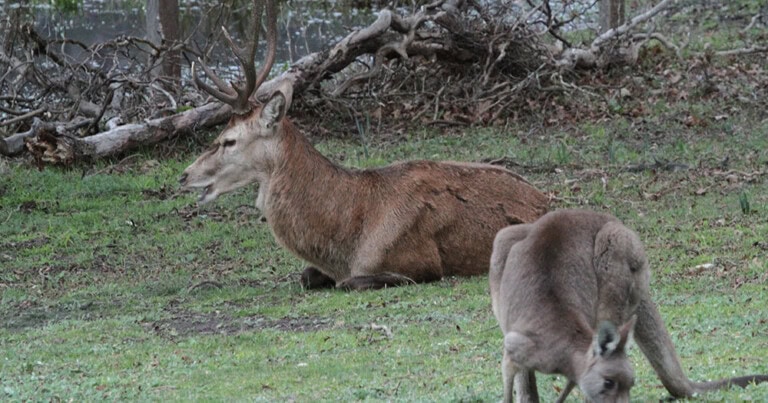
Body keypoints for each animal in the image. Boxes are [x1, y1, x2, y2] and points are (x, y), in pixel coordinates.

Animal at [178, 0, 549, 291]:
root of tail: (547, 200)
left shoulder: (420, 261)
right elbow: (306, 276)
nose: (184, 175)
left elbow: (351, 282)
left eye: (229, 140)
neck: (347, 242)